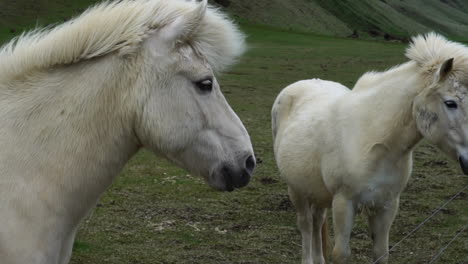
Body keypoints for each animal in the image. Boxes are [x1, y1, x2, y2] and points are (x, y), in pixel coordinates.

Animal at [272, 33, 468, 264]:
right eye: (451, 103)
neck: (372, 138)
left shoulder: (386, 205)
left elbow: (381, 253)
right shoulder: (344, 202)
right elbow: (341, 254)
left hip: (316, 189)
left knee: (317, 220)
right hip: (297, 189)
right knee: (306, 224)